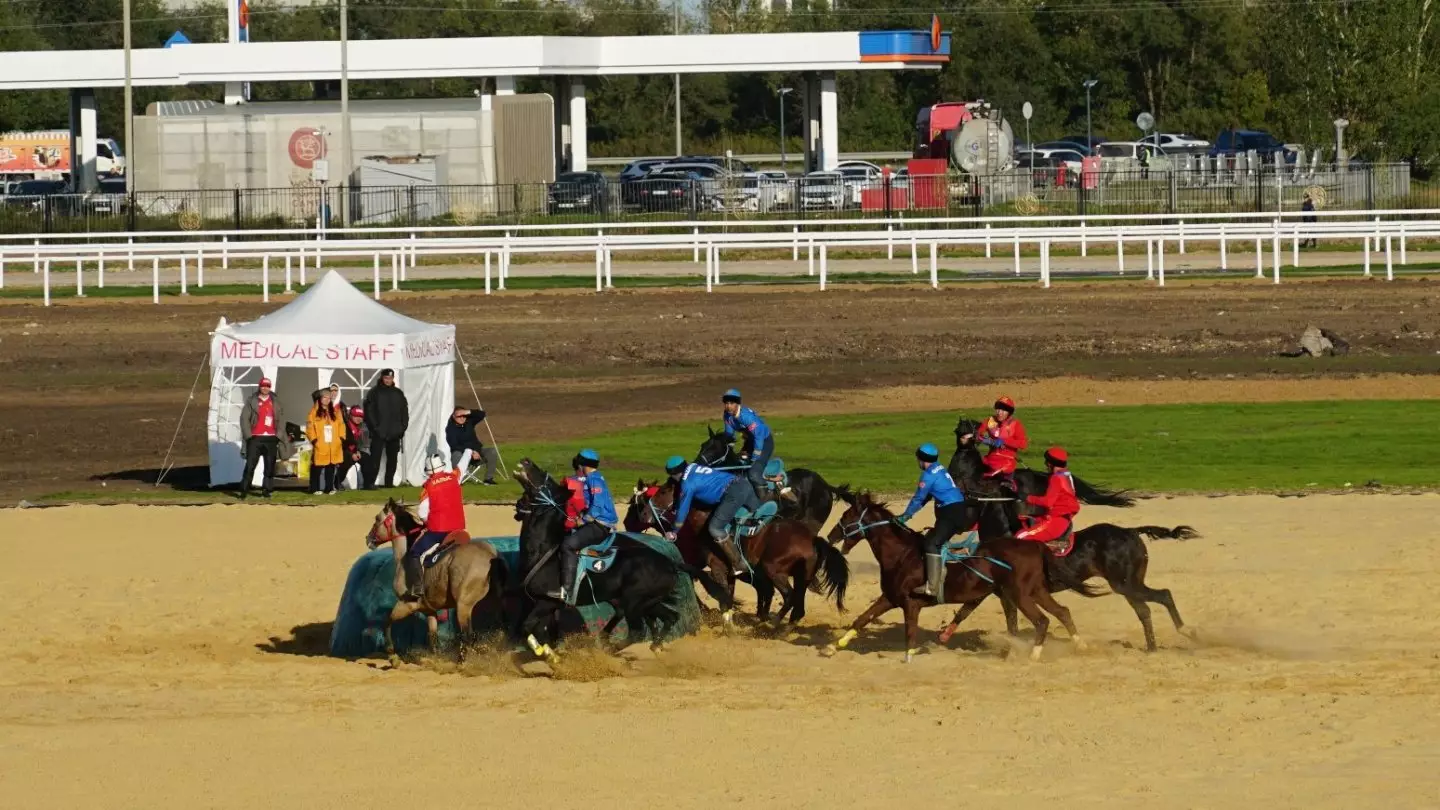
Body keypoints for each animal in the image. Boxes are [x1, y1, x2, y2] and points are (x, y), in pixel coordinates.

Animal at [362, 498, 504, 662]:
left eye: (377, 519)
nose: (368, 539)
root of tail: (490, 555)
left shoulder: (407, 604)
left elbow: (388, 622)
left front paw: (392, 654)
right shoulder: (429, 610)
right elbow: (433, 637)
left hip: (463, 606)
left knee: (467, 636)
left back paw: (461, 662)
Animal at [509, 458, 731, 660]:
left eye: (545, 480)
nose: (527, 461)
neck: (542, 550)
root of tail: (670, 563)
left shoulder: (547, 602)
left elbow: (527, 627)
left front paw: (548, 655)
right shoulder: (541, 604)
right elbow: (535, 629)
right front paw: (550, 653)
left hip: (634, 602)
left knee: (638, 631)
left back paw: (610, 648)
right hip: (648, 602)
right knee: (670, 617)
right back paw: (653, 645)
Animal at [627, 475, 840, 628]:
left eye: (638, 502)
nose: (628, 522)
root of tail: (812, 539)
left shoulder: (714, 568)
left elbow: (718, 592)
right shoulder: (725, 572)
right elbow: (725, 595)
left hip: (774, 570)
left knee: (788, 596)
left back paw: (772, 622)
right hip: (801, 575)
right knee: (797, 604)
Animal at [823, 490, 1088, 660]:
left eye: (846, 517)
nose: (831, 535)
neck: (902, 555)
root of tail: (1034, 546)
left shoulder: (911, 603)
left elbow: (910, 634)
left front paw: (909, 658)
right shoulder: (889, 598)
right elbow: (861, 619)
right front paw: (833, 647)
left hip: (1019, 594)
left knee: (1042, 621)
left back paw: (1033, 654)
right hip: (1033, 591)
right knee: (1062, 612)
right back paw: (1079, 645)